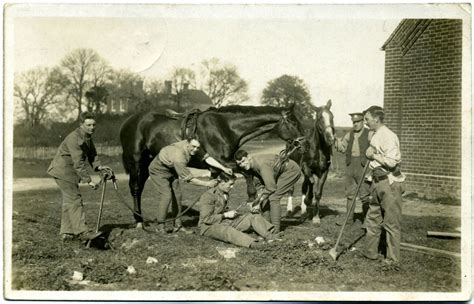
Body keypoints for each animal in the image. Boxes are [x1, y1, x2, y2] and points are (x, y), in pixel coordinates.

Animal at [118, 104, 304, 226]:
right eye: (293, 123)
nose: (303, 144)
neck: (226, 127)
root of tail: (127, 122)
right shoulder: (222, 162)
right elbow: (247, 173)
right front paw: (252, 199)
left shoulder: (215, 168)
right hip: (136, 161)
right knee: (135, 188)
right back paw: (139, 222)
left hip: (147, 163)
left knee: (141, 186)